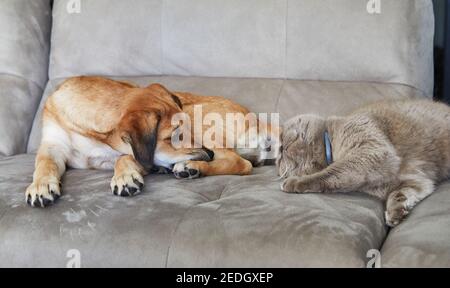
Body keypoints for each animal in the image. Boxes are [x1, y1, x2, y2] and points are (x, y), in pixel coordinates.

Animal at [27, 76, 278, 207]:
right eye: (174, 137)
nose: (208, 154)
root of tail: (257, 119)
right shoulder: (51, 145)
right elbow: (44, 164)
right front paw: (40, 186)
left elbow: (125, 157)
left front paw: (125, 177)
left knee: (240, 163)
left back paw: (193, 167)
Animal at [276, 99, 450, 227]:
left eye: (285, 139)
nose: (281, 147)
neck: (330, 145)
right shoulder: (416, 180)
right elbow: (400, 193)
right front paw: (396, 211)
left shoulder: (371, 151)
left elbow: (329, 172)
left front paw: (295, 182)